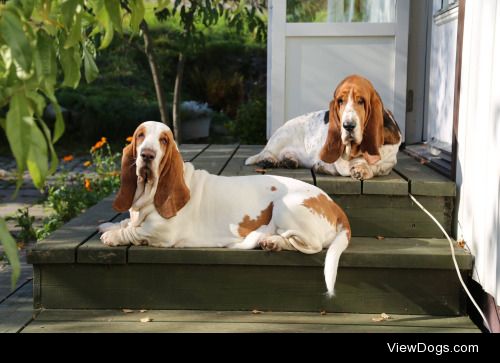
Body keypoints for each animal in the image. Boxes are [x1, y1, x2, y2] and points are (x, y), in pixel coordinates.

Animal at [99, 121, 352, 298]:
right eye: (140, 135)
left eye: (163, 140)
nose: (147, 155)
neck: (149, 192)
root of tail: (335, 207)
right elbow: (126, 222)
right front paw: (108, 224)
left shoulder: (162, 233)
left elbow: (133, 231)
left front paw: (111, 236)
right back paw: (270, 241)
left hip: (284, 206)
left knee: (311, 245)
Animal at [246, 75, 402, 181]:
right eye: (340, 101)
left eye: (361, 101)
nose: (348, 126)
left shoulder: (389, 162)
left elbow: (378, 166)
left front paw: (362, 168)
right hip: (282, 136)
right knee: (266, 152)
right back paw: (269, 160)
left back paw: (289, 160)